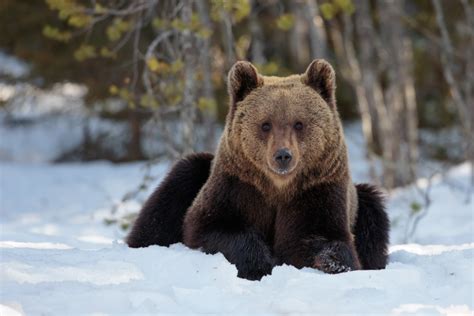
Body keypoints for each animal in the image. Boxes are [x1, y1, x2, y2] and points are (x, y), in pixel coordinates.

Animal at [127, 59, 388, 282]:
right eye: (265, 124)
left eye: (299, 123)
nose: (283, 155)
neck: (277, 187)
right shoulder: (238, 187)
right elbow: (211, 226)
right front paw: (258, 264)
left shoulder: (317, 192)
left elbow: (323, 238)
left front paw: (335, 263)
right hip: (197, 172)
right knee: (169, 198)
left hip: (362, 204)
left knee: (373, 215)